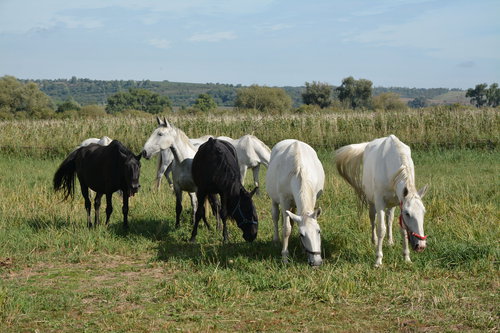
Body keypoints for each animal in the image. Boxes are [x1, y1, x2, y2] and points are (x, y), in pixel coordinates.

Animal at [334, 134, 428, 266]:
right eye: (407, 214)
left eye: (423, 212)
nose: (421, 245)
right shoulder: (380, 203)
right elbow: (381, 229)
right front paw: (378, 259)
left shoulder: (399, 202)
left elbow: (402, 230)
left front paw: (406, 257)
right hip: (372, 202)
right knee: (373, 220)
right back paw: (374, 241)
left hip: (391, 204)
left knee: (389, 220)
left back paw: (390, 242)